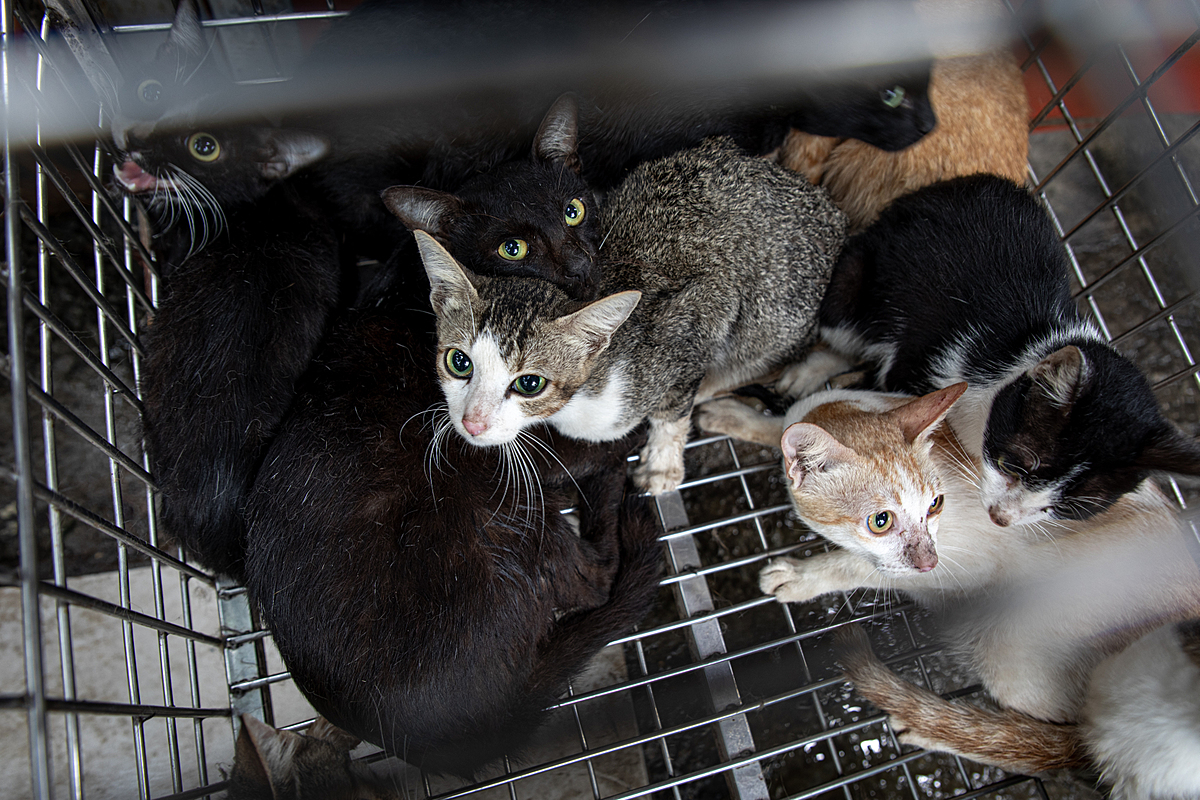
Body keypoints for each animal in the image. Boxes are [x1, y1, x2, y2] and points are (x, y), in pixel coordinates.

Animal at [417, 137, 849, 494]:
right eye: (459, 362)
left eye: (529, 384)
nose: (472, 423)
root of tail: (833, 212)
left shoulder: (704, 308)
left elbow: (673, 409)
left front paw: (662, 465)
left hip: (773, 311)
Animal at [777, 175, 1200, 525]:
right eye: (1014, 464)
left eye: (1068, 507)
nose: (1001, 517)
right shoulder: (916, 364)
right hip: (856, 276)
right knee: (842, 325)